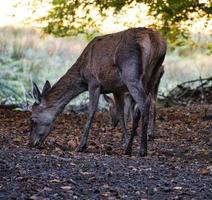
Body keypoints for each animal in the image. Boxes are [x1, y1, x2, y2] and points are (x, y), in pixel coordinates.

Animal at [29, 27, 166, 156]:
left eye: (32, 119)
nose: (31, 143)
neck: (82, 74)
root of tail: (156, 42)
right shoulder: (117, 88)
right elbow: (121, 114)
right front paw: (124, 142)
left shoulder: (93, 82)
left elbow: (91, 112)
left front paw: (81, 146)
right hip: (151, 75)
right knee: (144, 105)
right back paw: (130, 148)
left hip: (131, 74)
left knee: (144, 103)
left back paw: (142, 149)